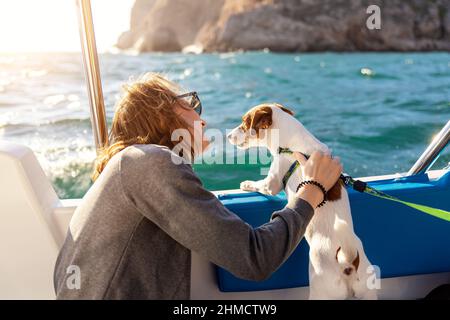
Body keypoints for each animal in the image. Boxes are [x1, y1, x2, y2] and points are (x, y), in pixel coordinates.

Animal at [227, 103, 378, 300]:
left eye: (245, 123)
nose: (228, 136)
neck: (291, 143)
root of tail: (349, 262)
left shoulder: (272, 182)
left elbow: (261, 185)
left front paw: (246, 183)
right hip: (367, 290)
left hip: (320, 290)